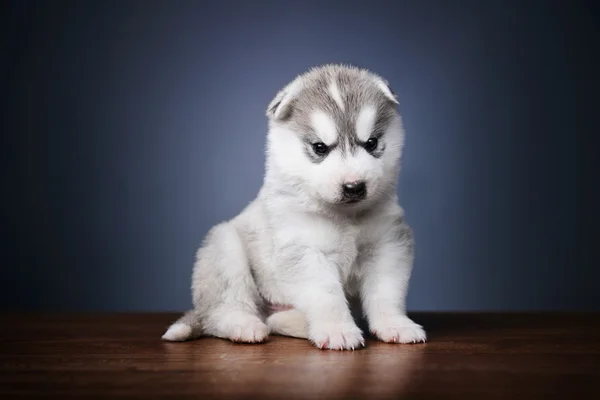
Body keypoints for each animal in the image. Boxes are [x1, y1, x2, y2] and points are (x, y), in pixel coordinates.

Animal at [161, 63, 426, 350]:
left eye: (372, 143)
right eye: (319, 148)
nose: (354, 186)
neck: (347, 218)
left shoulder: (387, 245)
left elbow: (386, 292)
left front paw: (396, 325)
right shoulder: (304, 250)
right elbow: (327, 294)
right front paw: (337, 330)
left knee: (272, 320)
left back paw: (294, 322)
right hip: (224, 248)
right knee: (224, 309)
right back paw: (244, 326)